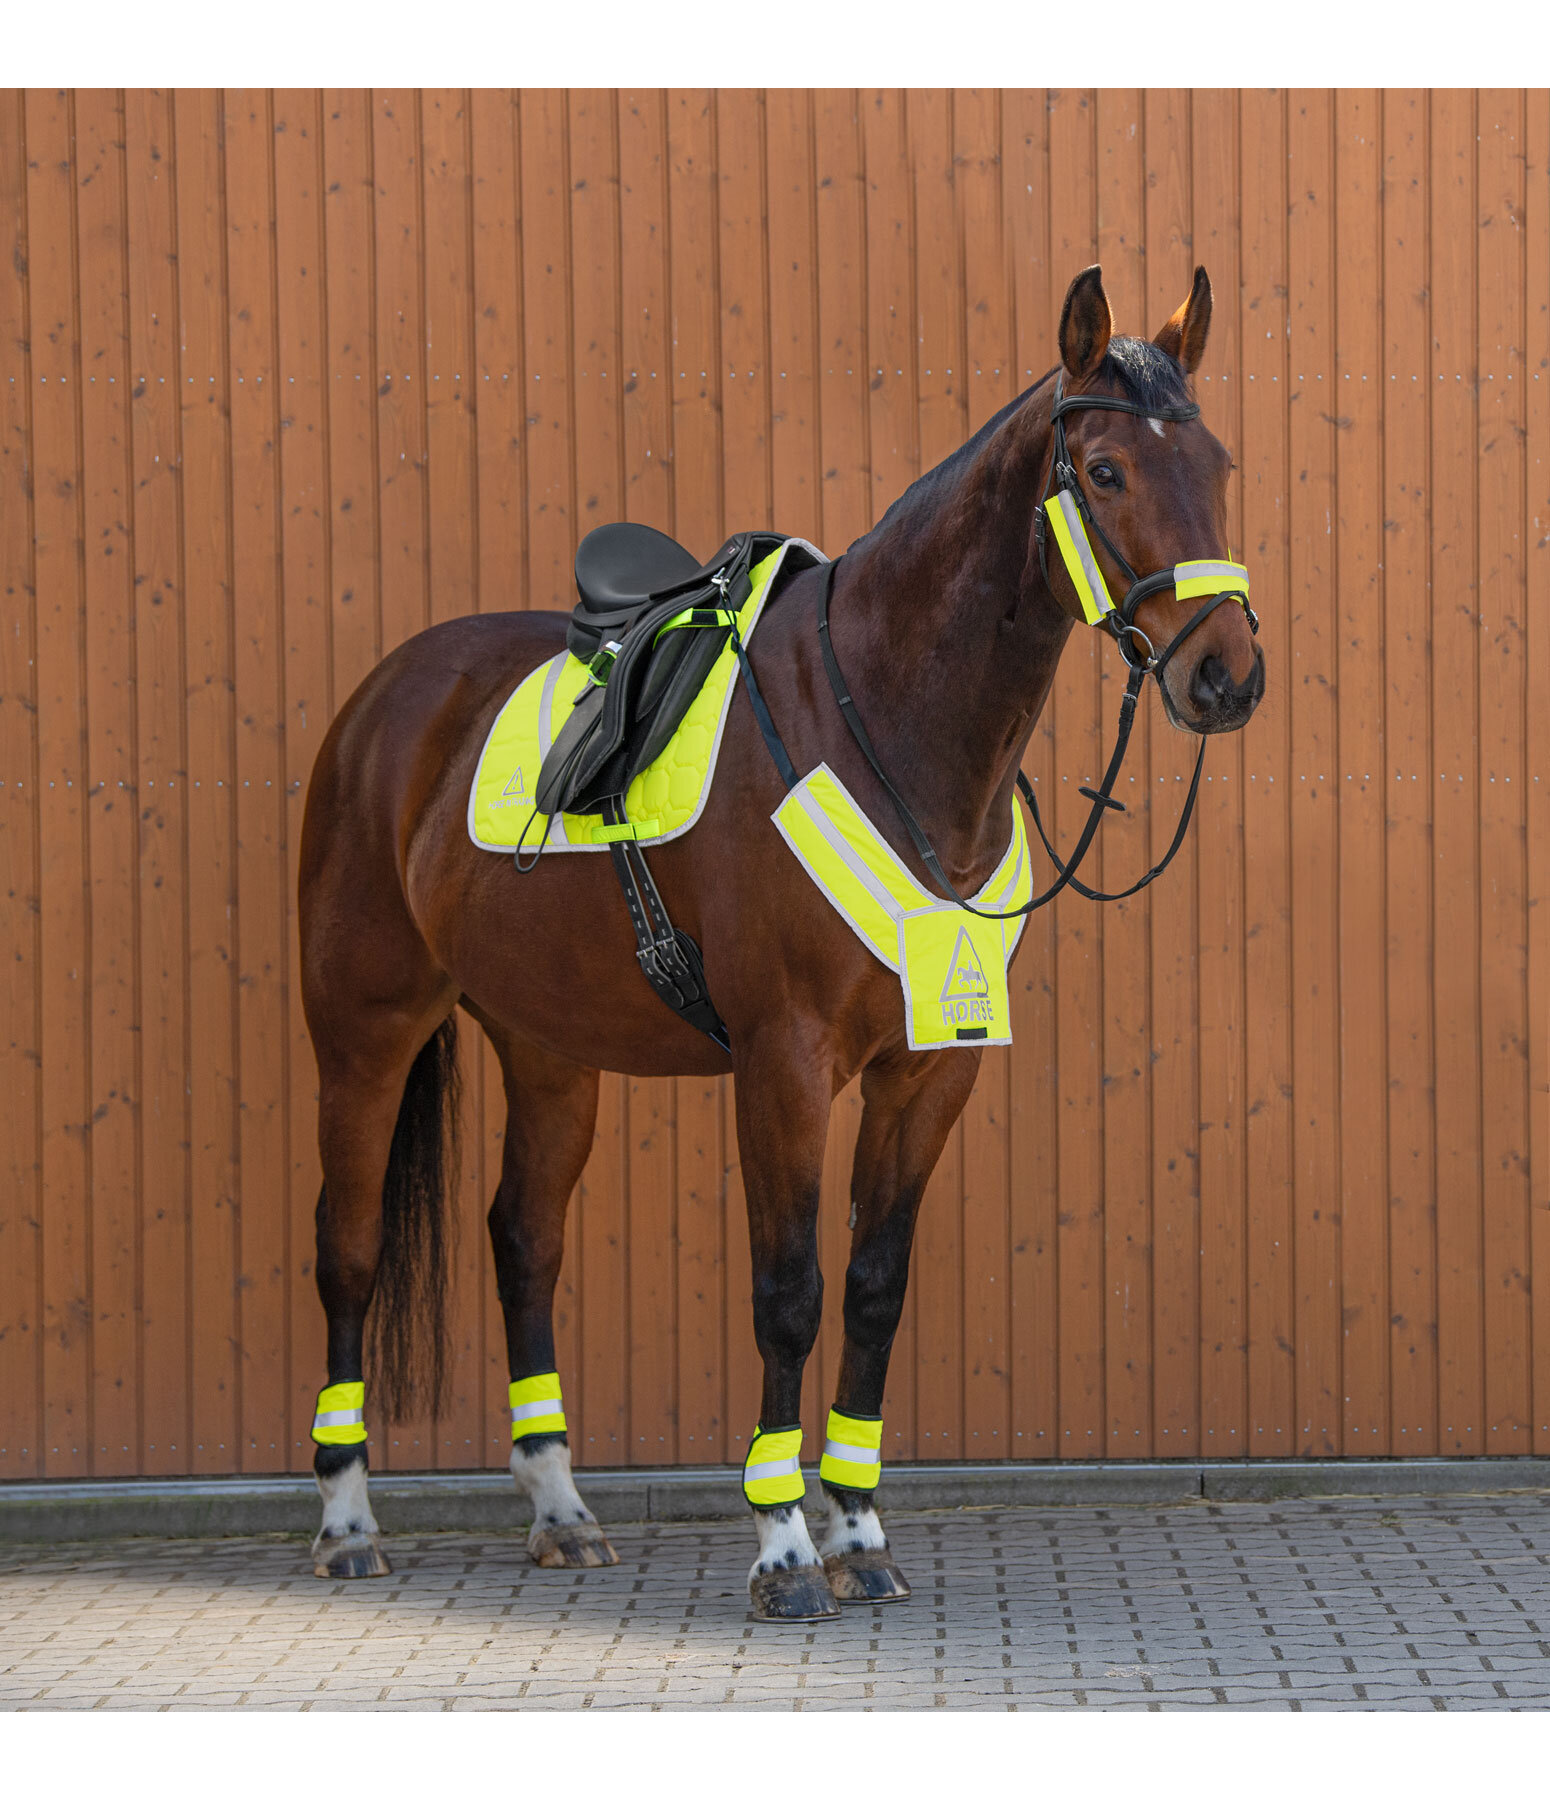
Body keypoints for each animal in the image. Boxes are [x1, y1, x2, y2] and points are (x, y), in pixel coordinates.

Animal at [298, 262, 1260, 1620]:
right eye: (1108, 470)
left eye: (1217, 463)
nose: (1226, 676)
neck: (882, 719)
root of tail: (384, 702)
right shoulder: (784, 1064)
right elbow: (789, 1293)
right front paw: (786, 1551)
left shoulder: (929, 1072)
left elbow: (872, 1289)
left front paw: (859, 1532)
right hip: (363, 1032)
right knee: (347, 1248)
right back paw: (346, 1523)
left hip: (549, 1051)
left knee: (522, 1242)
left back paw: (560, 1510)